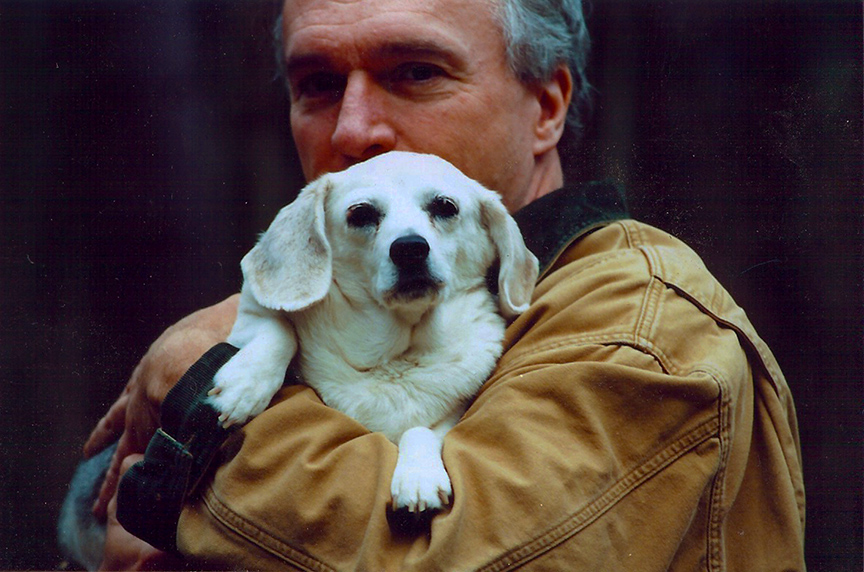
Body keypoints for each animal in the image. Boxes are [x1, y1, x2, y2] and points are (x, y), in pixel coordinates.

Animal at [209, 151, 539, 514]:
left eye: (445, 206)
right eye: (361, 213)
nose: (409, 248)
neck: (395, 355)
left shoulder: (450, 420)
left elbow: (420, 431)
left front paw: (418, 475)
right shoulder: (248, 315)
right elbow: (278, 330)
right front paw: (244, 387)